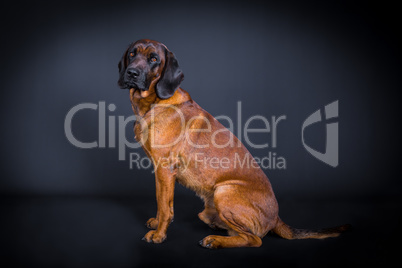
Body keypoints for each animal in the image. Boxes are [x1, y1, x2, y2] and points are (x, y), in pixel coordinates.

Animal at [116, 38, 348, 248]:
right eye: (132, 54)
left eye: (154, 59)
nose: (132, 73)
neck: (154, 102)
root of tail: (276, 219)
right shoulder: (160, 174)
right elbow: (161, 201)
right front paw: (157, 224)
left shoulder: (165, 169)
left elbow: (165, 206)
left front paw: (159, 235)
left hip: (224, 192)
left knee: (254, 240)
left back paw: (215, 240)